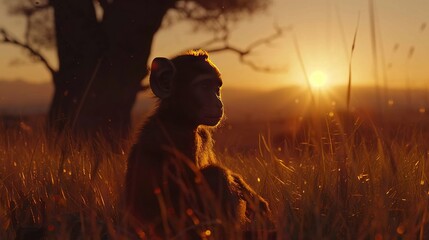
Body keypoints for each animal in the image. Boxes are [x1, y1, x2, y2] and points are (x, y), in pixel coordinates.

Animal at [124, 49, 270, 239]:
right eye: (204, 86)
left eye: (217, 88)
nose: (219, 103)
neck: (179, 117)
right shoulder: (180, 137)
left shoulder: (203, 135)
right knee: (216, 175)